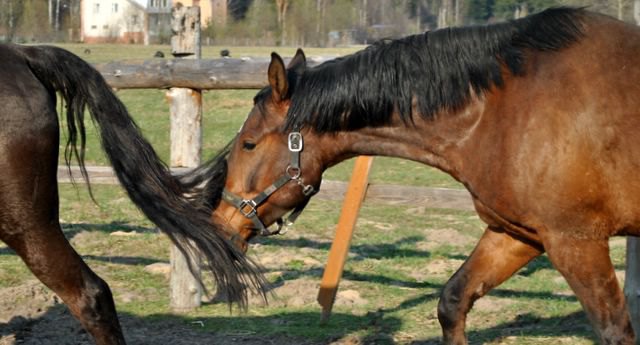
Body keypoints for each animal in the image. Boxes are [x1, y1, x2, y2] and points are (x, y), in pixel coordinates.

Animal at [198, 8, 640, 344]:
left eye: (249, 144)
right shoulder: (517, 234)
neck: (508, 106)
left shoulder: (576, 241)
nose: (220, 225)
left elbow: (615, 331)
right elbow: (453, 302)